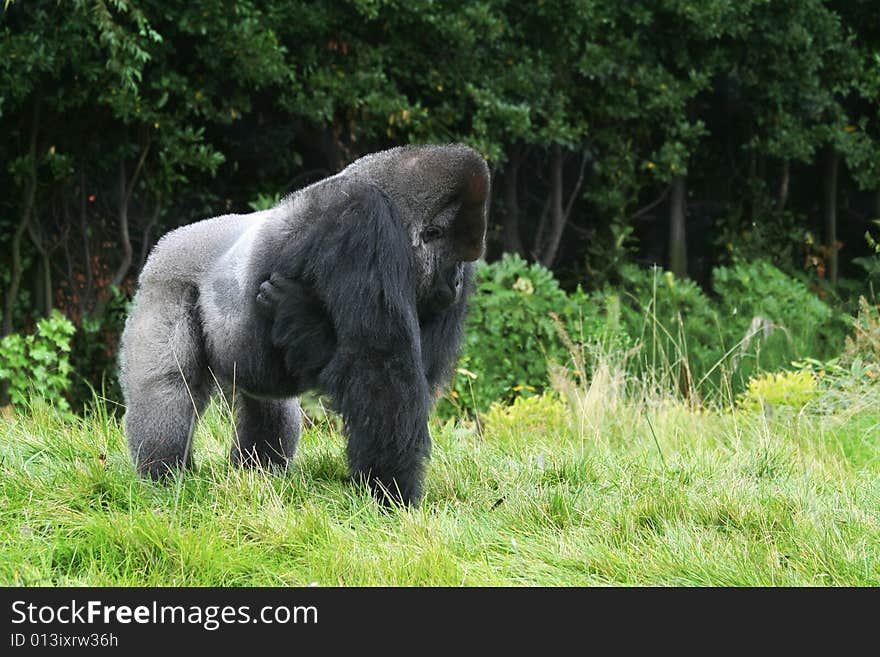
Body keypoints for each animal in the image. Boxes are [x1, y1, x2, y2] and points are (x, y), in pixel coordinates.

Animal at [117, 142, 492, 502]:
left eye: (465, 262)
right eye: (454, 258)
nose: (458, 282)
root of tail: (166, 242)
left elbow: (406, 374)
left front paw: (300, 313)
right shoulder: (361, 217)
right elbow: (377, 367)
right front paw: (390, 491)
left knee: (269, 404)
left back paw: (258, 472)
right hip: (166, 282)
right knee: (169, 387)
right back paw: (163, 475)